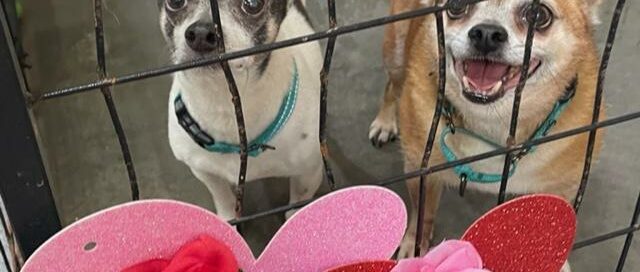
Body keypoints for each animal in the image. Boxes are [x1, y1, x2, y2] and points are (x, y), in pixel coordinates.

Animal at [370, 0, 604, 262]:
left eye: (538, 14)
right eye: (456, 6)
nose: (487, 33)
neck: (494, 126)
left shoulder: (563, 188)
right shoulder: (420, 169)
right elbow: (423, 212)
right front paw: (415, 244)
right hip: (396, 51)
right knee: (392, 85)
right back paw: (385, 121)